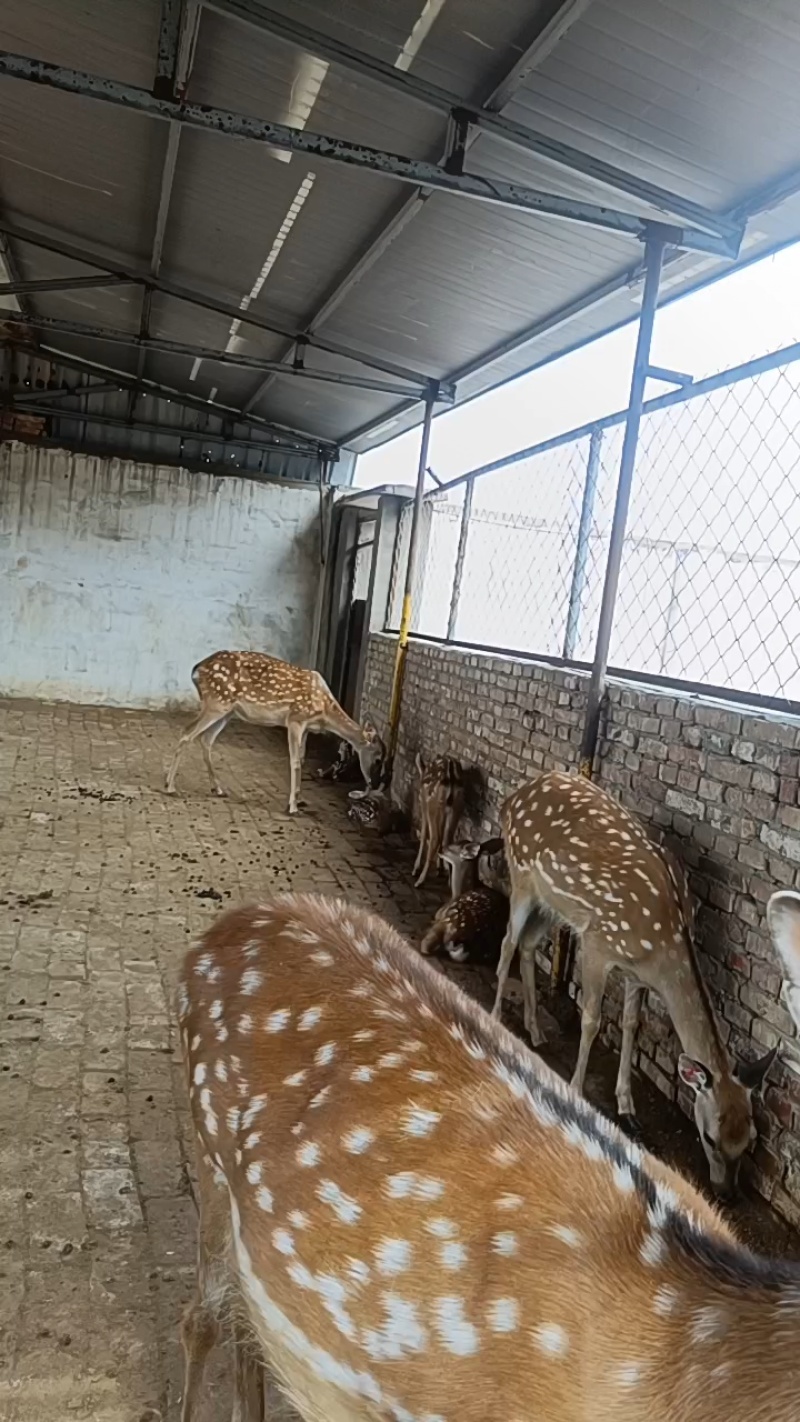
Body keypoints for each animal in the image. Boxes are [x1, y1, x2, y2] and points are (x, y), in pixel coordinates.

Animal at [164, 651, 385, 815]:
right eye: (378, 758)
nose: (375, 784)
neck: (324, 713)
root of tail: (196, 670)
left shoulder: (307, 728)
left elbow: (302, 758)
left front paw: (299, 799)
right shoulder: (295, 719)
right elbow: (295, 761)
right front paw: (292, 806)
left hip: (227, 710)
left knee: (206, 739)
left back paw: (217, 789)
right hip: (216, 702)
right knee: (187, 732)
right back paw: (170, 787)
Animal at [412, 753, 465, 888]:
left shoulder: (424, 805)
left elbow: (424, 833)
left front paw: (416, 867)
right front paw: (439, 868)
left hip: (433, 804)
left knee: (435, 838)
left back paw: (420, 880)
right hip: (457, 806)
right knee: (447, 838)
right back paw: (450, 880)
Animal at [492, 769, 776, 1198]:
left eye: (751, 1140)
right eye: (709, 1137)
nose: (725, 1191)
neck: (665, 944)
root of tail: (513, 796)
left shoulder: (636, 975)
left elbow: (631, 1026)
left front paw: (628, 1108)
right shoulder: (598, 943)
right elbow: (591, 1020)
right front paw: (577, 1090)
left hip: (551, 903)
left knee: (527, 945)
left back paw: (536, 1030)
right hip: (521, 872)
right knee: (508, 942)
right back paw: (495, 1017)